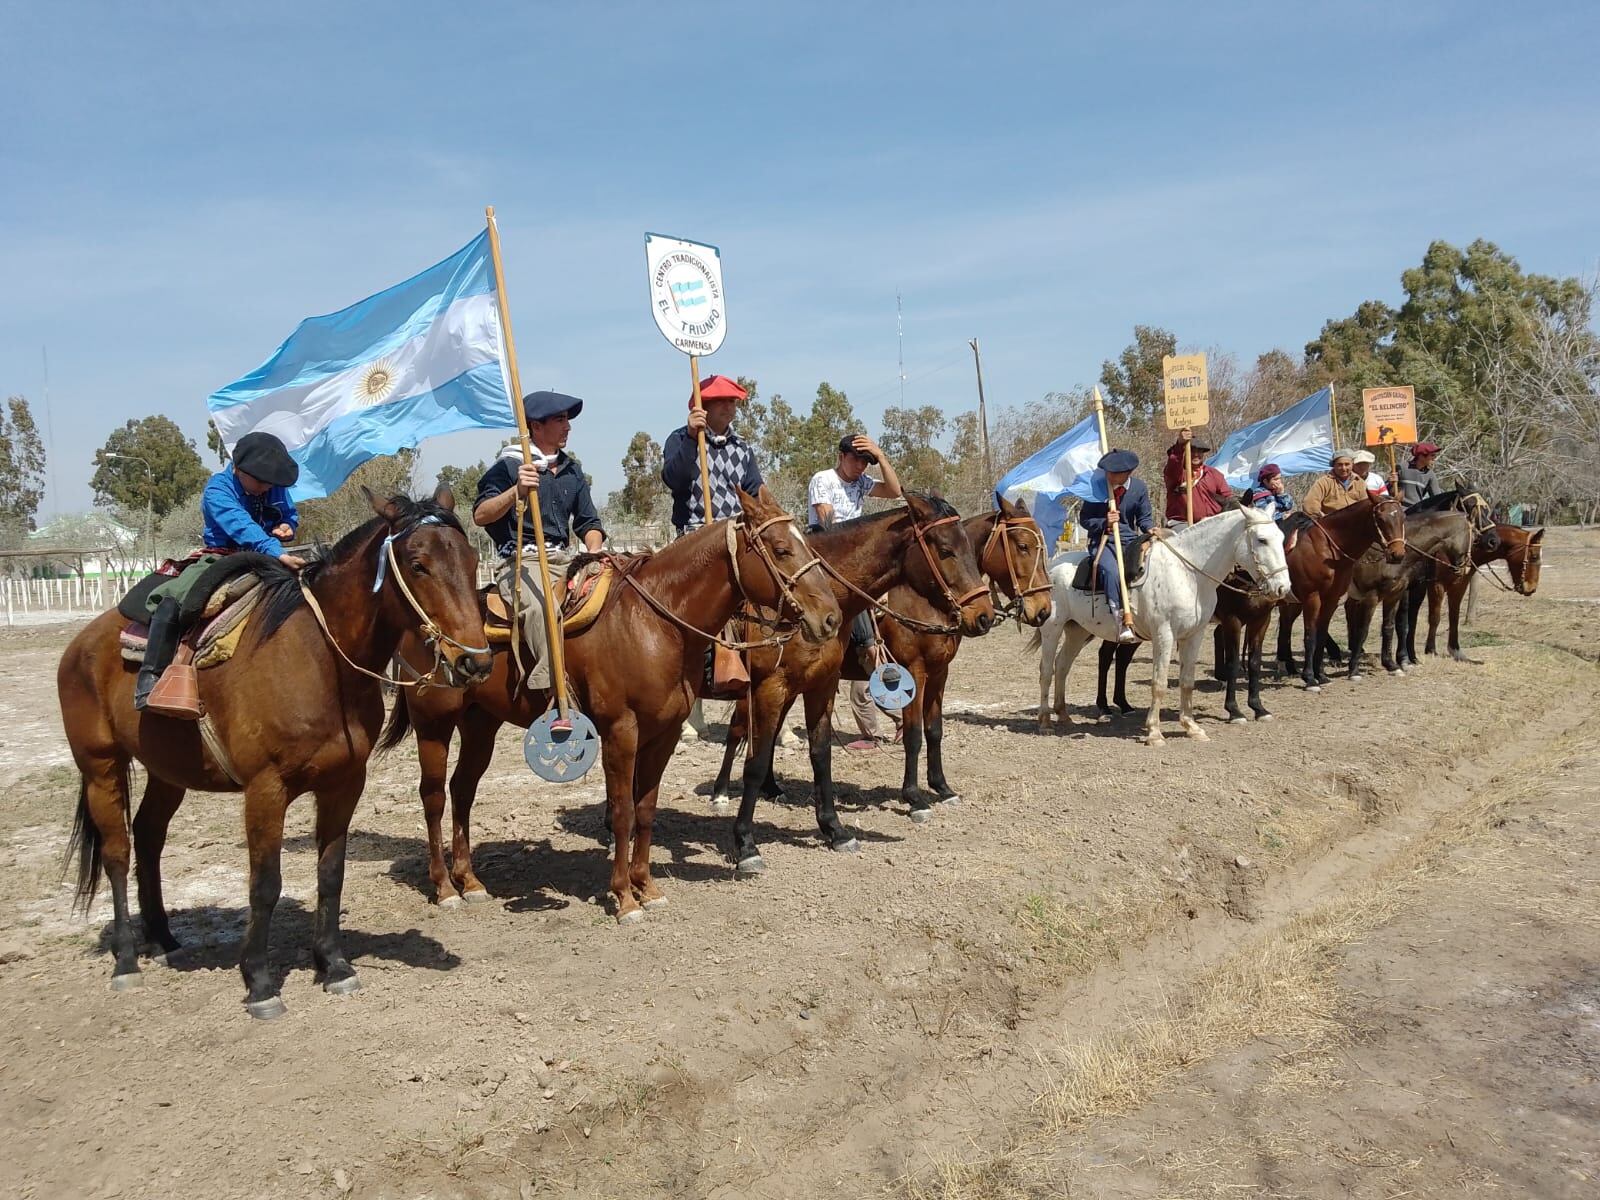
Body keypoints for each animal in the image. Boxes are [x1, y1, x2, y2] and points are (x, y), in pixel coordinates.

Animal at [59, 492, 489, 1017]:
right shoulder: (265, 790)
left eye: (470, 561)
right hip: (102, 768)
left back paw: (162, 939)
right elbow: (265, 884)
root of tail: (82, 643)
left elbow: (331, 872)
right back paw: (126, 960)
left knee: (148, 837)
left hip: (168, 773)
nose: (475, 661)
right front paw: (260, 982)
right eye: (417, 563)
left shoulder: (344, 784)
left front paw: (334, 965)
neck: (320, 660)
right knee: (117, 853)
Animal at [380, 483, 844, 928]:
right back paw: (444, 887)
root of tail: (419, 626)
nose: (831, 618)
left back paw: (470, 880)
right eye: (781, 549)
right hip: (434, 725)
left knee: (463, 790)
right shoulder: (621, 731)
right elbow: (622, 812)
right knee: (433, 796)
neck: (655, 624)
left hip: (480, 725)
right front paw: (624, 897)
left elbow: (646, 809)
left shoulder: (664, 733)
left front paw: (647, 887)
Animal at [710, 492, 992, 876]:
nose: (984, 615)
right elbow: (755, 758)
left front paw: (834, 829)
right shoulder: (772, 686)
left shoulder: (825, 684)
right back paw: (721, 793)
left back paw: (772, 789)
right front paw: (745, 844)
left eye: (969, 548)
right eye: (946, 550)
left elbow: (822, 753)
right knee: (737, 732)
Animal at [876, 492, 1049, 812]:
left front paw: (942, 786)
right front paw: (913, 796)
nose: (1044, 609)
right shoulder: (913, 671)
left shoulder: (939, 671)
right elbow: (914, 734)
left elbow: (934, 730)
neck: (925, 599)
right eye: (1022, 546)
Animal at [1036, 505, 1286, 742]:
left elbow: (1187, 681)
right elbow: (1159, 683)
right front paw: (1154, 732)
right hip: (1052, 628)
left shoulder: (1194, 635)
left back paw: (1064, 715)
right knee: (1047, 669)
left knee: (1062, 665)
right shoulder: (1165, 635)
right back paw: (1045, 722)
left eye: (1282, 538)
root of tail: (1054, 566)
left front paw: (1192, 727)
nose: (1283, 587)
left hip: (1077, 631)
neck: (1188, 574)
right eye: (1262, 539)